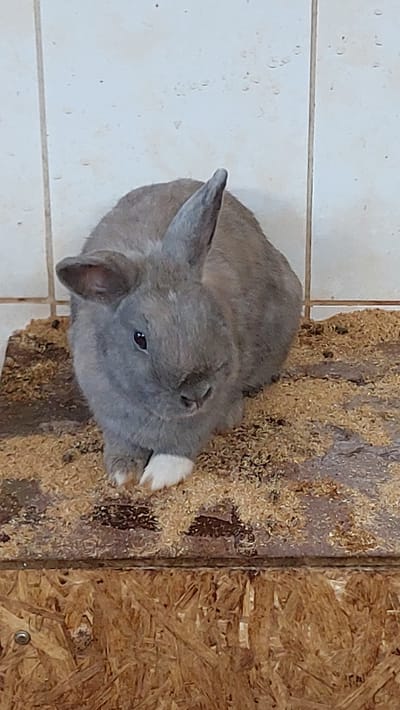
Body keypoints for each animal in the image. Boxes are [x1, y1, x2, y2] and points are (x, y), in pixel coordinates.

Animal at [56, 169, 302, 491]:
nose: (196, 393)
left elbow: (182, 443)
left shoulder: (208, 407)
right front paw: (122, 474)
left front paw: (157, 477)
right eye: (140, 339)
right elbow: (121, 443)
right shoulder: (109, 414)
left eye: (211, 315)